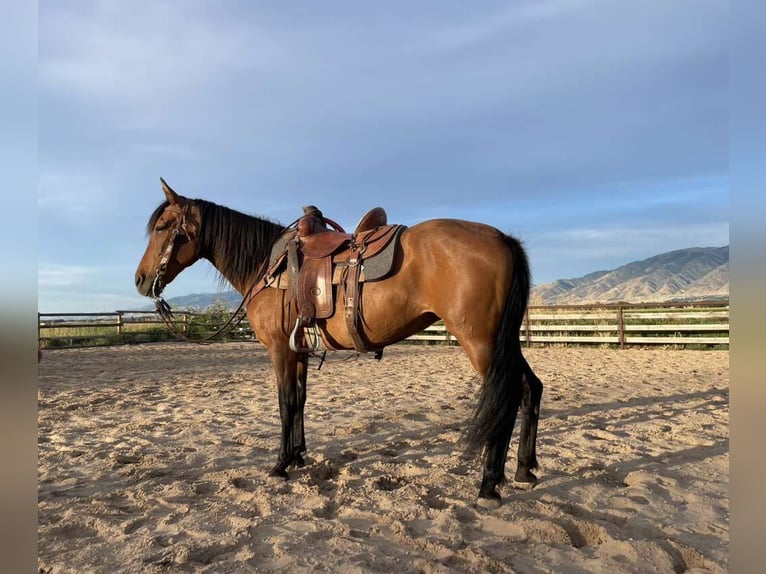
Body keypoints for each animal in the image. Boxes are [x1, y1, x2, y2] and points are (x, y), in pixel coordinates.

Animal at [138, 179, 544, 508]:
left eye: (162, 227)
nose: (141, 280)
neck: (269, 267)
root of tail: (502, 239)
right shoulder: (299, 349)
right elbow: (299, 401)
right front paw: (298, 455)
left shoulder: (279, 349)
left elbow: (285, 403)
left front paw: (280, 464)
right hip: (503, 343)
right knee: (530, 388)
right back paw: (524, 470)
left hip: (481, 342)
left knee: (508, 395)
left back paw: (489, 485)